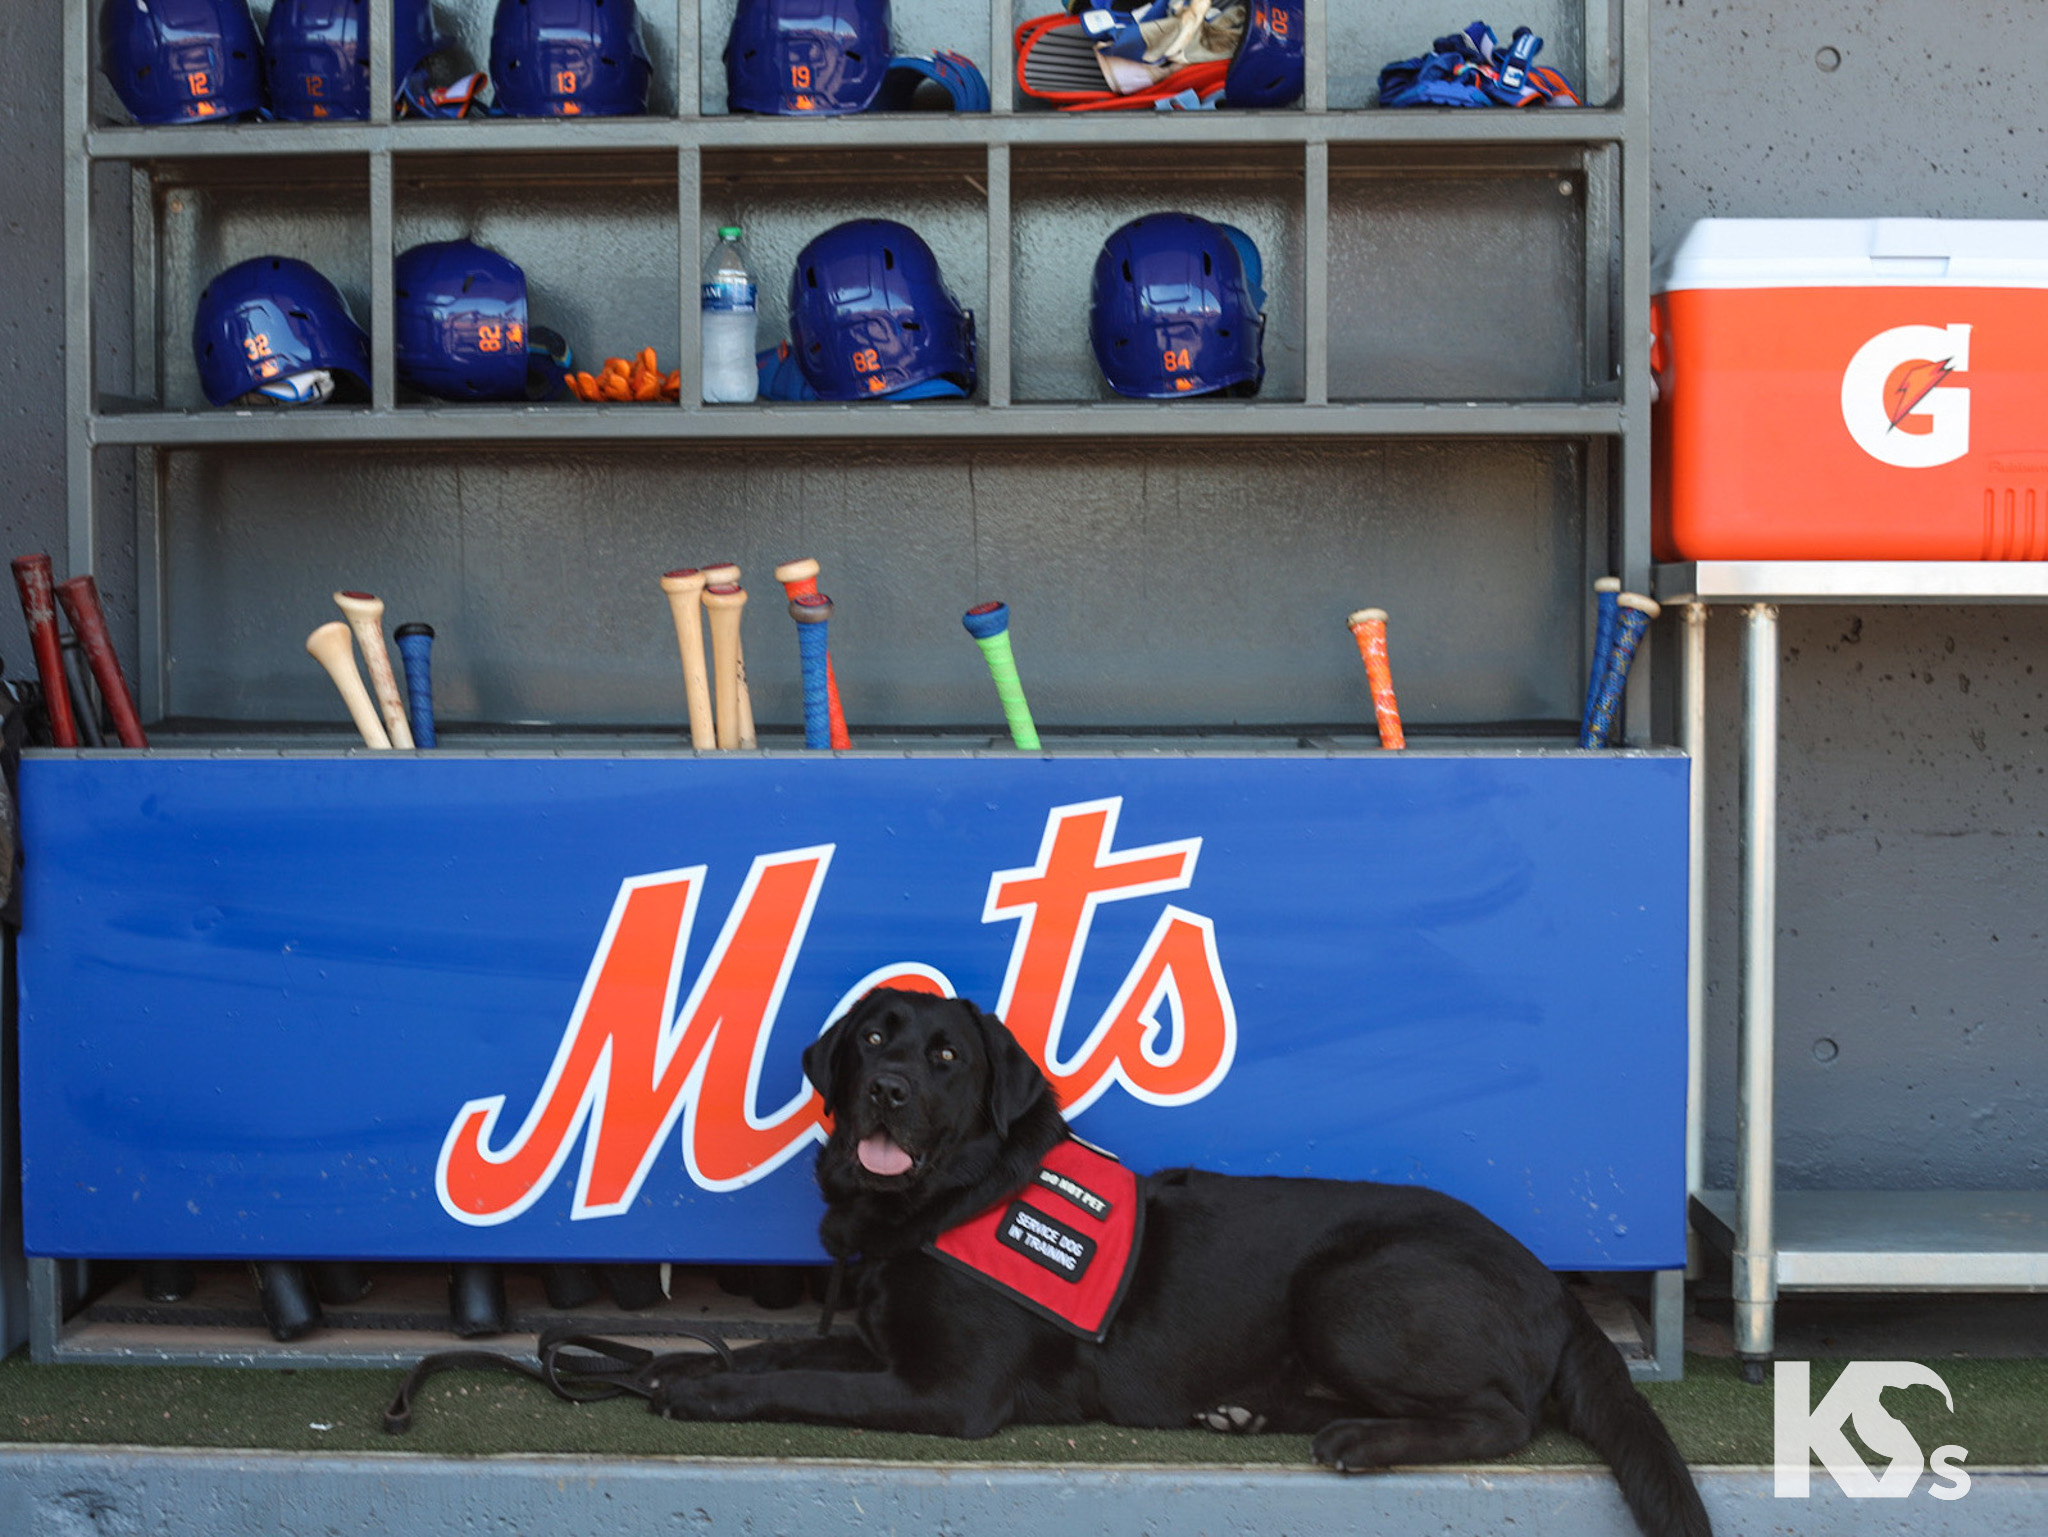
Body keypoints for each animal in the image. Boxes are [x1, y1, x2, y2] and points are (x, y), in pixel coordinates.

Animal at [655, 987, 1712, 1537]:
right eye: (874, 1035)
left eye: (948, 1058)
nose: (885, 1089)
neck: (946, 1199)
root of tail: (1555, 1288)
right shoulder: (883, 1345)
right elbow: (775, 1352)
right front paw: (673, 1368)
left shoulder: (948, 1391)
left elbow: (799, 1384)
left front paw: (705, 1395)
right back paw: (1246, 1413)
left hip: (1348, 1286)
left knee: (1503, 1417)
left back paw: (1363, 1440)